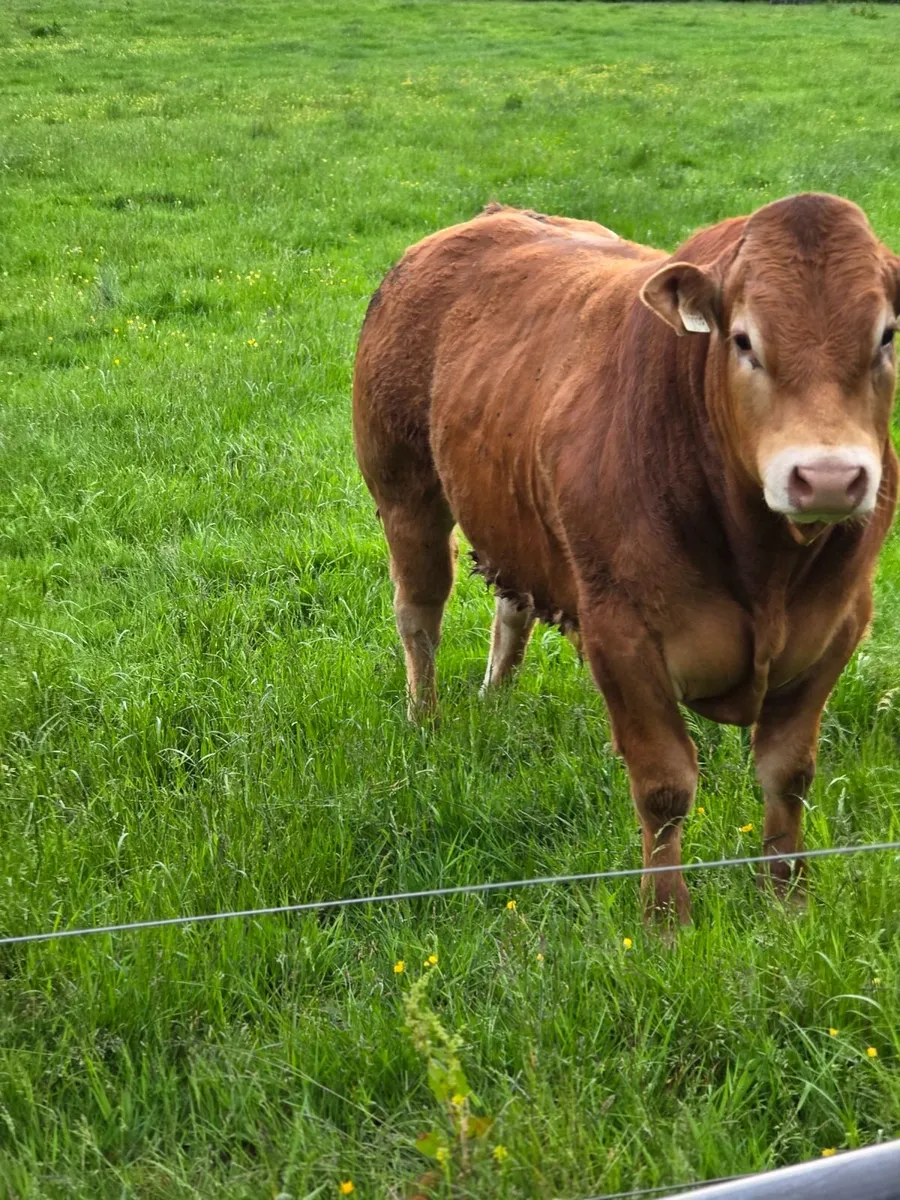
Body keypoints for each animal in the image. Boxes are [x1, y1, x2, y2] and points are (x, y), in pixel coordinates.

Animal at [352, 194, 899, 922]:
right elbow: (664, 785)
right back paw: (425, 720)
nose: (830, 478)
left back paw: (495, 696)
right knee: (419, 613)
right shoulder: (621, 633)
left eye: (886, 336)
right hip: (404, 487)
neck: (765, 565)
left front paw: (787, 898)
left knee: (512, 605)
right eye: (743, 340)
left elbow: (788, 774)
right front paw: (666, 918)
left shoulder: (838, 624)